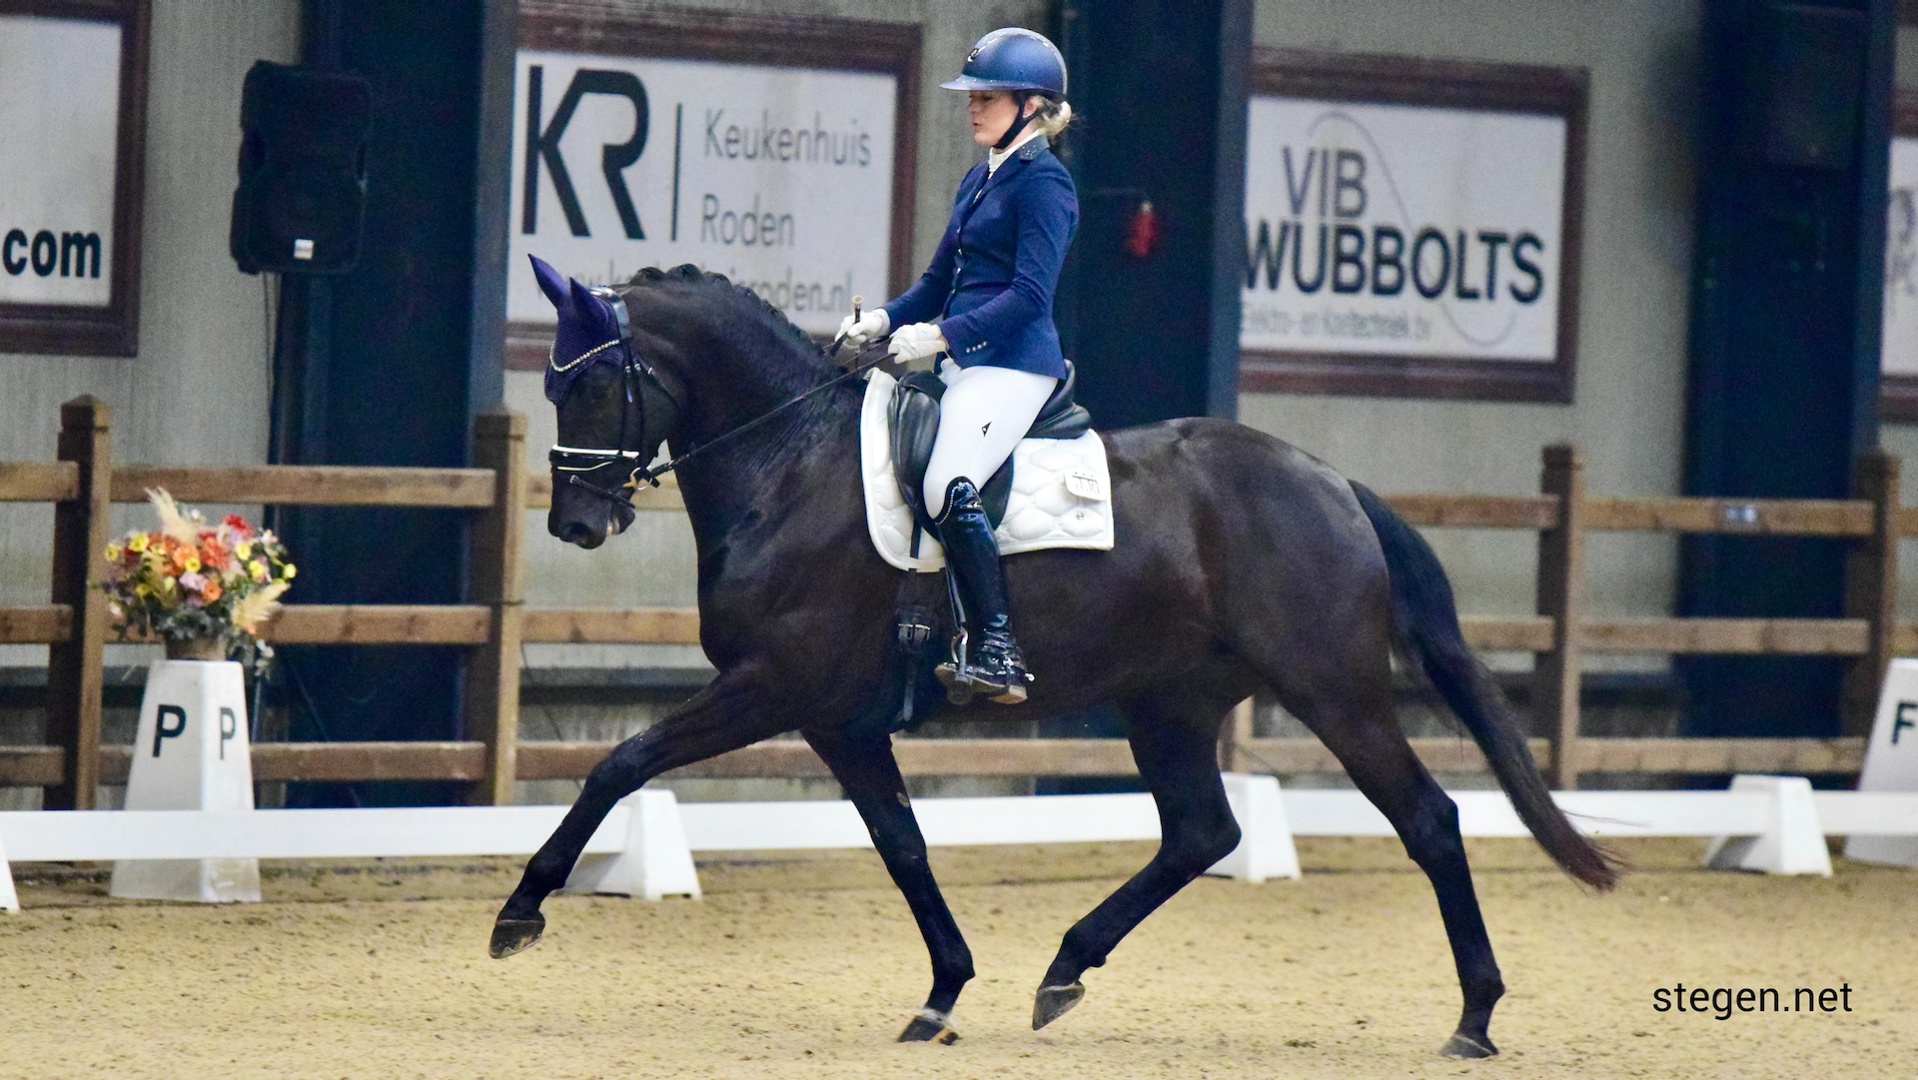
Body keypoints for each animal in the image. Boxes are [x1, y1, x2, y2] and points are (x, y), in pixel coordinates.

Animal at [487, 262, 1611, 1058]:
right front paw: (942, 993)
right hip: (1169, 702)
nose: (578, 522)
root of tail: (1330, 481)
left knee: (1426, 819)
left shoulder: (771, 689)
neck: (789, 464)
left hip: (1332, 691)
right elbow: (903, 846)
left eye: (596, 383)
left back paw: (1474, 1018)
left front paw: (519, 912)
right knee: (1200, 832)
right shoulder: (839, 721)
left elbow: (620, 763)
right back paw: (1065, 969)